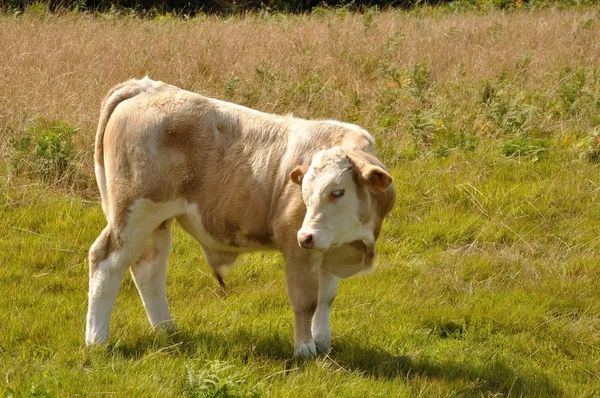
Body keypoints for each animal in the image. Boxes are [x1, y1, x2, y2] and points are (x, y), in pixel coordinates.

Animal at [84, 77, 394, 358]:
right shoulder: (297, 246)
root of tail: (145, 86)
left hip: (156, 221)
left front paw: (324, 345)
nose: (307, 236)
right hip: (134, 212)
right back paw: (97, 340)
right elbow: (305, 300)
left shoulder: (327, 249)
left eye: (337, 192)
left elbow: (325, 299)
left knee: (149, 269)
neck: (354, 242)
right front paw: (305, 350)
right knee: (106, 261)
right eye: (304, 192)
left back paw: (167, 331)